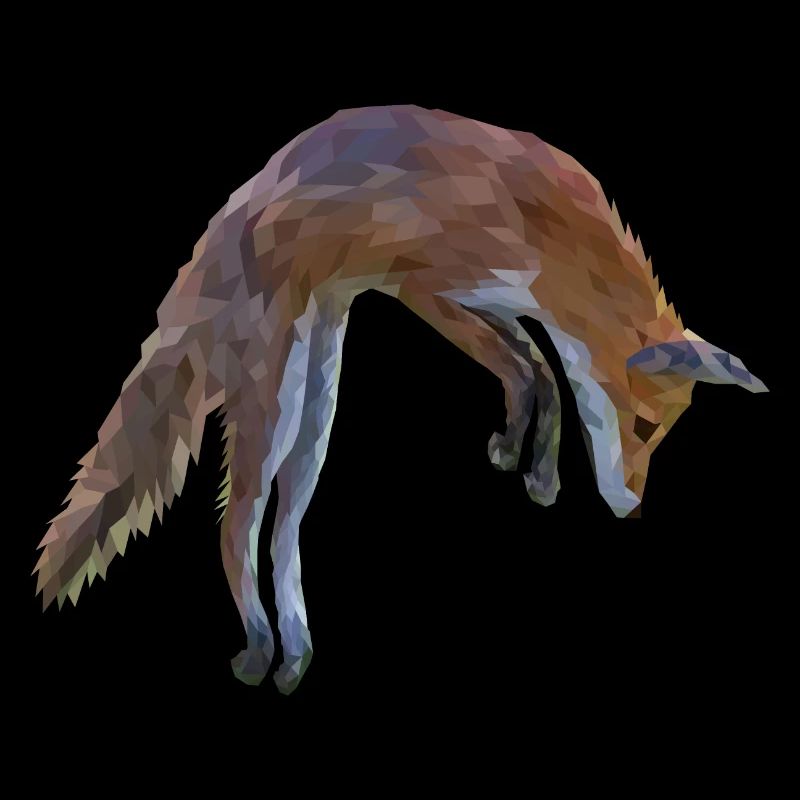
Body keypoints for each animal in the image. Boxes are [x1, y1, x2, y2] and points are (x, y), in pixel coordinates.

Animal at [34, 104, 768, 693]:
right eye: (641, 428)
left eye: (663, 437)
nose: (634, 510)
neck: (550, 235)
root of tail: (237, 208)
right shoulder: (425, 286)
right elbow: (529, 366)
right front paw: (531, 458)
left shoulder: (489, 300)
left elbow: (538, 370)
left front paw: (530, 462)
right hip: (276, 404)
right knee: (235, 524)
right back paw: (259, 650)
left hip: (317, 404)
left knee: (283, 527)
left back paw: (294, 650)